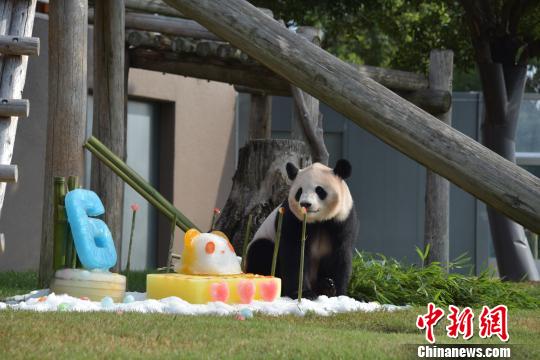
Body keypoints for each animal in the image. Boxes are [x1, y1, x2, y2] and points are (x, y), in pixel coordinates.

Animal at [246, 160, 358, 298]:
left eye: (319, 190)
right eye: (299, 192)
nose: (305, 204)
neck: (318, 221)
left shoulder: (342, 219)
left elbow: (340, 255)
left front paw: (339, 294)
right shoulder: (292, 218)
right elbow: (295, 253)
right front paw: (303, 293)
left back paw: (326, 286)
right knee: (261, 251)